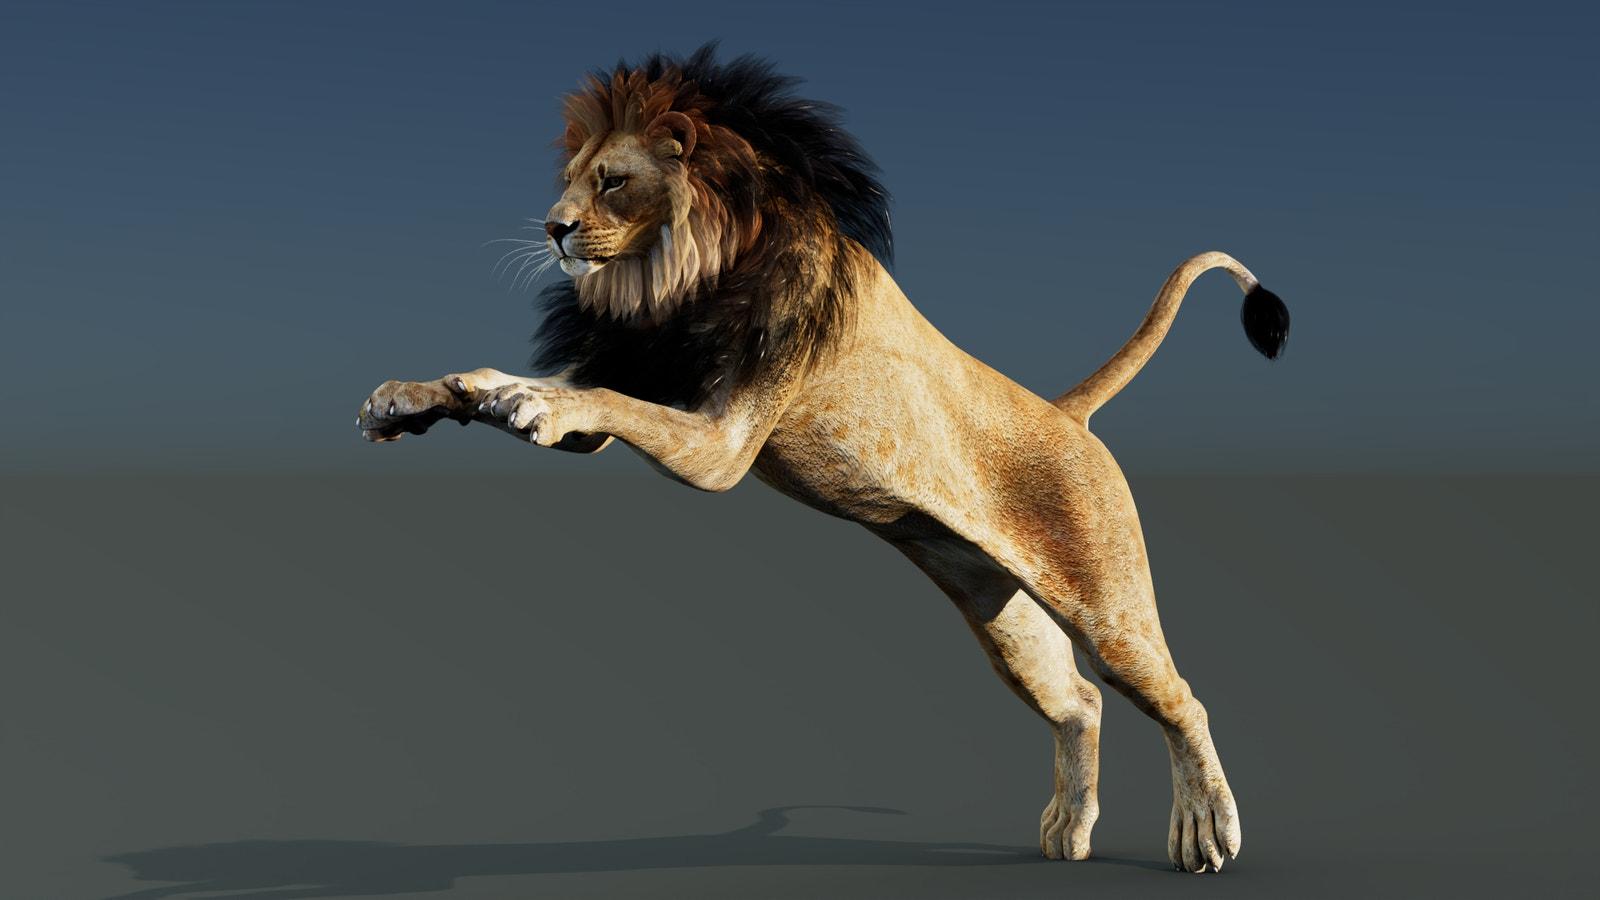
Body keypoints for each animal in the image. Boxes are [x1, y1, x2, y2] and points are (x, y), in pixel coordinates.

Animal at [357, 45, 1289, 874]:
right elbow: (525, 384)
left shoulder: (722, 445)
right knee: (1080, 702)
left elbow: (610, 401)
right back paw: (1068, 829)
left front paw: (530, 400)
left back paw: (1206, 832)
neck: (675, 272)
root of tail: (1065, 414)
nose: (552, 229)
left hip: (1105, 603)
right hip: (997, 608)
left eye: (612, 180)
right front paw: (416, 396)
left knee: (1178, 699)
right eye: (573, 177)